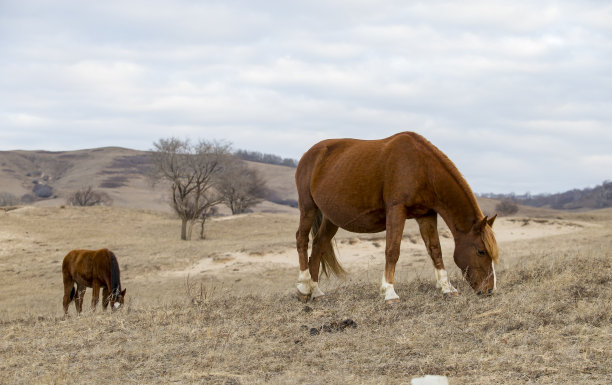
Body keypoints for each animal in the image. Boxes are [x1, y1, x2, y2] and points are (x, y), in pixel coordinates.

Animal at [294, 132, 500, 304]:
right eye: (481, 251)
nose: (490, 290)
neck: (422, 167)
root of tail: (309, 154)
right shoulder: (396, 210)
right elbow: (392, 250)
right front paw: (389, 293)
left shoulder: (426, 214)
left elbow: (435, 250)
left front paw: (446, 288)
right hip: (308, 207)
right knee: (302, 239)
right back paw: (303, 288)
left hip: (331, 219)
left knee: (318, 246)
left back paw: (316, 292)